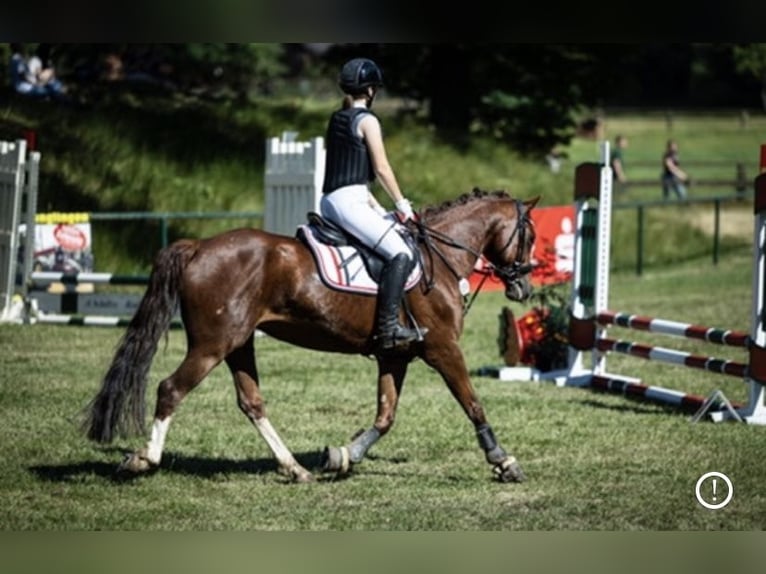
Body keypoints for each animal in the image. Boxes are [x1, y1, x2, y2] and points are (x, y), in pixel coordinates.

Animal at [84, 190, 540, 486]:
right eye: (530, 236)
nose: (524, 288)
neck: (439, 259)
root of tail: (199, 246)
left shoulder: (395, 355)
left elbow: (385, 415)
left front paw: (342, 456)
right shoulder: (443, 348)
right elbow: (473, 403)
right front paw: (504, 461)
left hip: (238, 344)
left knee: (251, 402)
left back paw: (294, 468)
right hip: (212, 345)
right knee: (171, 388)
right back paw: (144, 460)